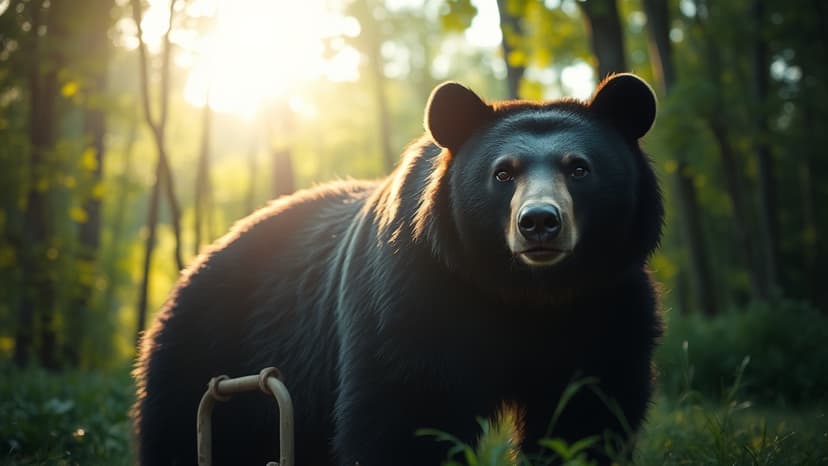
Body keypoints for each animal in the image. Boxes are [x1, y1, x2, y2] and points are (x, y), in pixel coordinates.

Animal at [133, 73, 663, 466]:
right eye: (503, 172)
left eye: (579, 168)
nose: (538, 223)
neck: (524, 291)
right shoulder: (413, 294)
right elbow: (407, 410)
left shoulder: (606, 302)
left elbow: (588, 412)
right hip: (206, 356)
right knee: (178, 434)